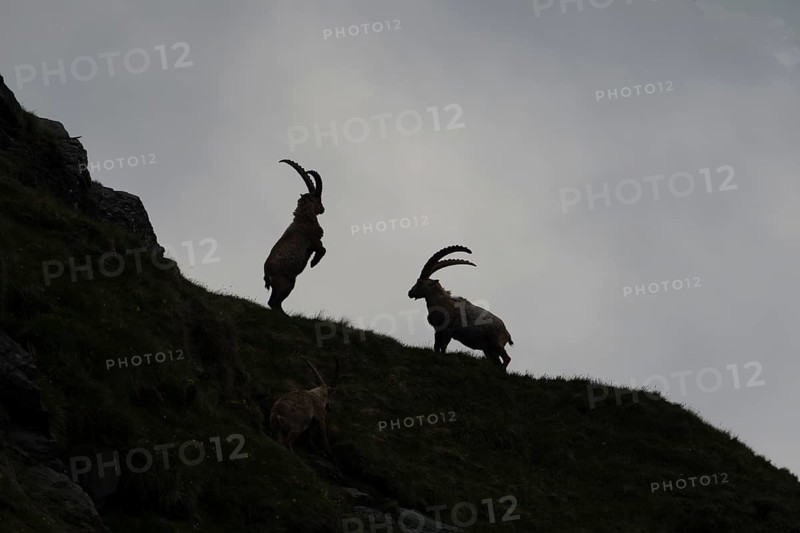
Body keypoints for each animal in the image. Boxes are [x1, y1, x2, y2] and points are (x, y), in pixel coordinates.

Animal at [263, 159, 326, 314]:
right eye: (317, 198)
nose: (323, 209)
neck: (304, 219)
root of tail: (267, 274)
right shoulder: (314, 241)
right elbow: (323, 250)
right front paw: (313, 263)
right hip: (286, 284)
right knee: (274, 302)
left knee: (274, 302)